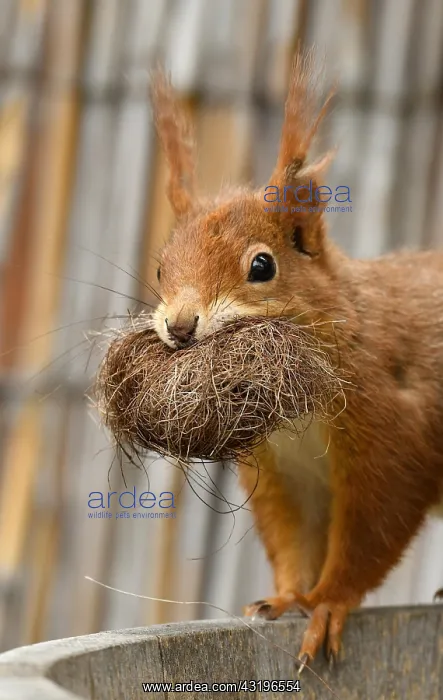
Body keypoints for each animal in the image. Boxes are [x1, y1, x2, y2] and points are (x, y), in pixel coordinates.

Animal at [149, 54, 443, 669]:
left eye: (262, 266)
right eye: (162, 268)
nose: (180, 326)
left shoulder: (393, 430)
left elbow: (372, 530)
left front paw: (328, 602)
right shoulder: (285, 469)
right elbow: (293, 536)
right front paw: (285, 599)